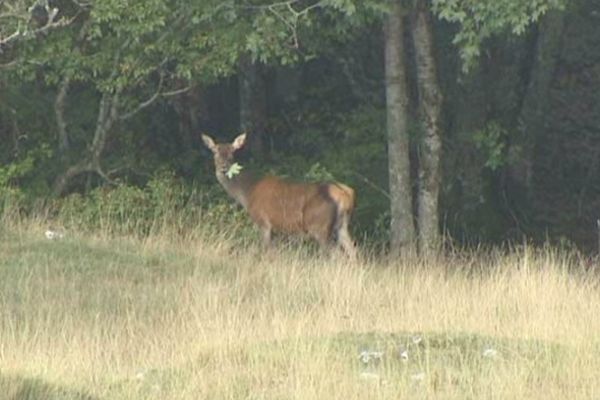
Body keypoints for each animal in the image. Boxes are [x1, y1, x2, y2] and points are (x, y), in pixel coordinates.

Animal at [202, 133, 356, 260]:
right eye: (215, 152)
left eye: (232, 153)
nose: (223, 167)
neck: (246, 193)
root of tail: (345, 194)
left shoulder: (263, 222)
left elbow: (266, 251)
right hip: (342, 225)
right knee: (353, 250)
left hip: (319, 225)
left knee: (337, 254)